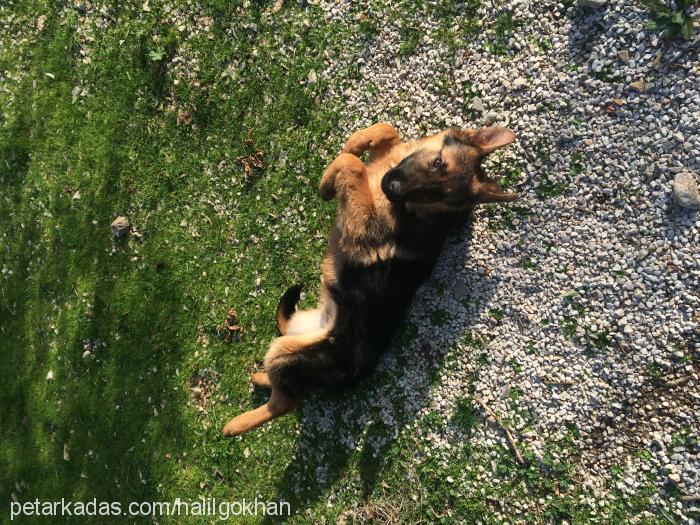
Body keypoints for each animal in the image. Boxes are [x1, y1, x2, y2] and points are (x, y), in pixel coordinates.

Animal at [221, 122, 516, 434]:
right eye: (437, 163)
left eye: (436, 196)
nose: (391, 189)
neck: (416, 210)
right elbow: (386, 131)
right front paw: (356, 143)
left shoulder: (363, 225)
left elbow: (352, 166)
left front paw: (328, 180)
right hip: (293, 336)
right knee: (289, 384)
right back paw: (261, 378)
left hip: (288, 352)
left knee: (286, 402)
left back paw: (236, 424)